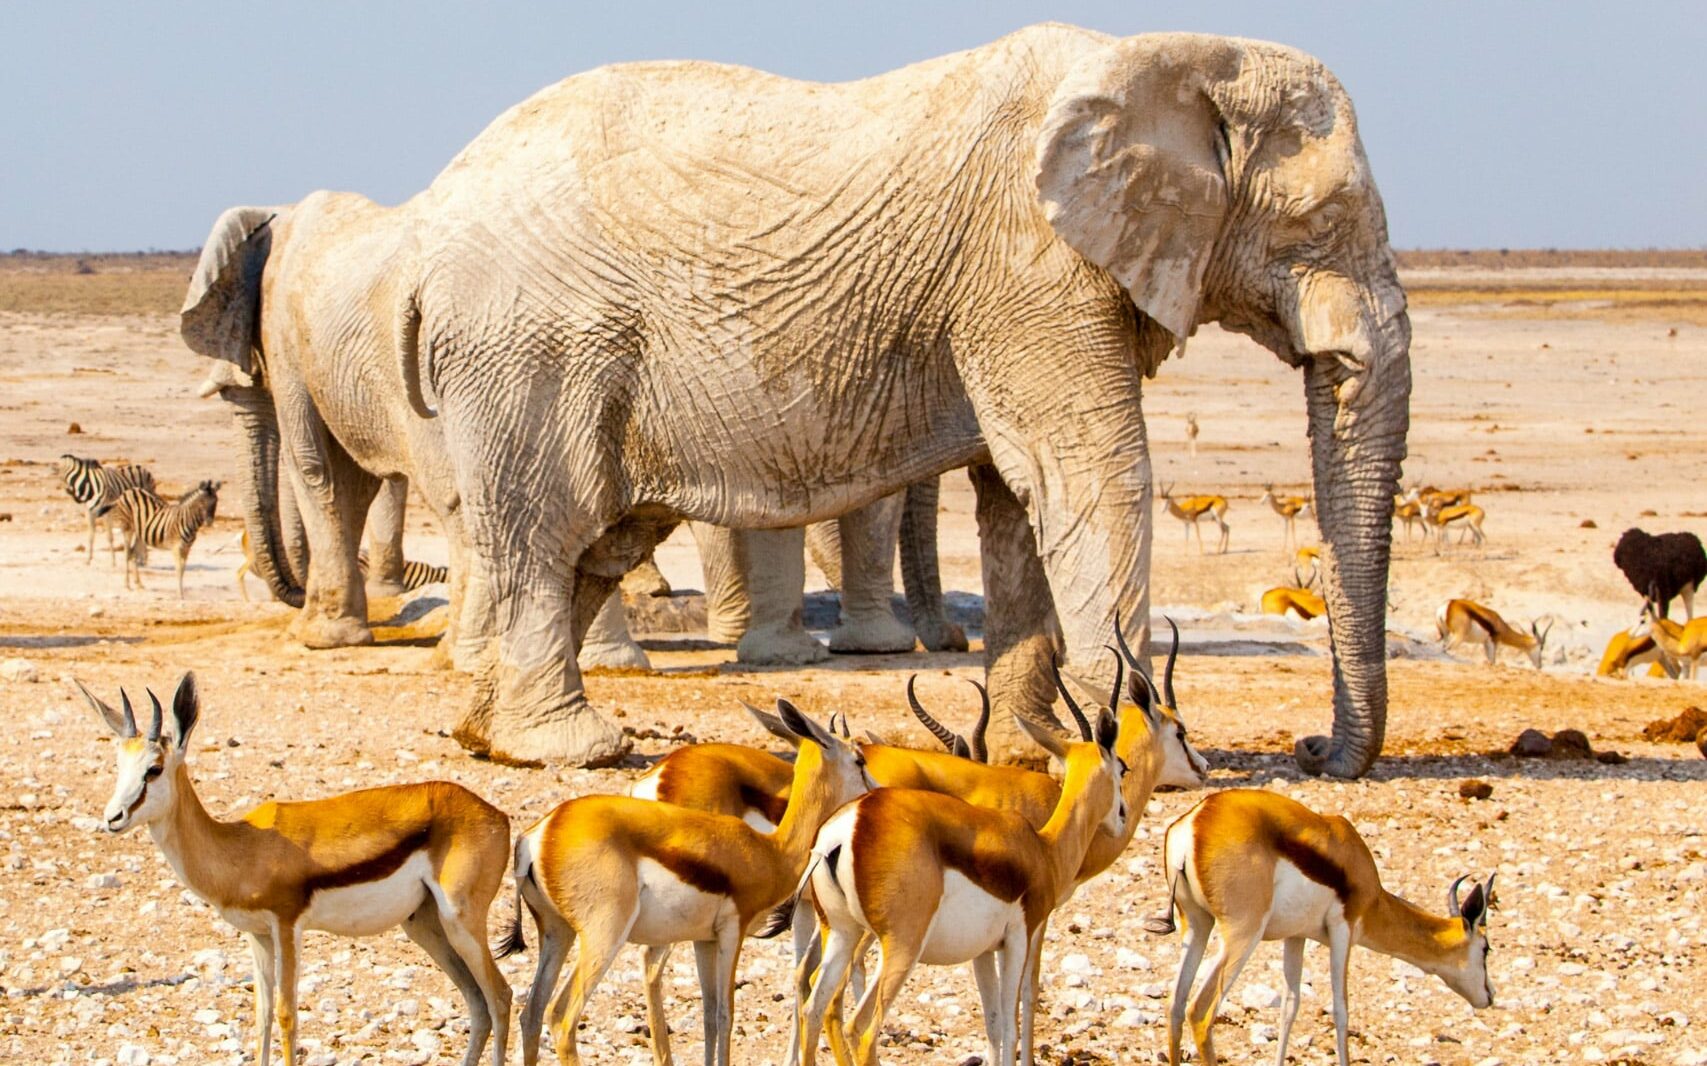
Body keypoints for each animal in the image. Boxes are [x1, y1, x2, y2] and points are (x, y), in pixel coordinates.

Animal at [81, 673, 505, 1066]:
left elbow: (287, 1015)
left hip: (460, 922)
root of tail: (496, 815)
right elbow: (262, 1016)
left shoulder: (286, 926)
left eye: (154, 769)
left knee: (500, 997)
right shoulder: (257, 935)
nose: (113, 818)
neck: (242, 847)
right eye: (119, 764)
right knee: (477, 1002)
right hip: (425, 926)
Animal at [247, 27, 1406, 775]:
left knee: (594, 541)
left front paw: (1033, 751)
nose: (1317, 751)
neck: (1166, 54)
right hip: (532, 350)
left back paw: (487, 735)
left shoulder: (1032, 291)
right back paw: (571, 748)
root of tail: (424, 242)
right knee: (544, 529)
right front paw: (1147, 765)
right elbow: (1089, 473)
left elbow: (1017, 502)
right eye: (1321, 222)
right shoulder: (1031, 271)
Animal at [1147, 785, 1495, 1059]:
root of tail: (1196, 819)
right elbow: (1341, 1010)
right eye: (1486, 948)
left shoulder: (1295, 937)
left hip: (1197, 925)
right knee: (1200, 1013)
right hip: (1242, 936)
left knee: (1175, 1007)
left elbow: (1289, 1007)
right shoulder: (1343, 931)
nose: (1490, 995)